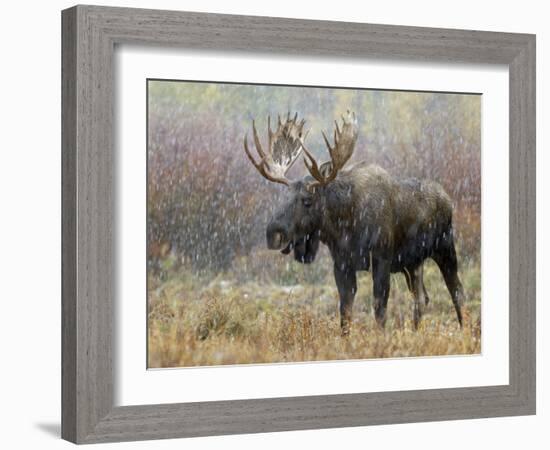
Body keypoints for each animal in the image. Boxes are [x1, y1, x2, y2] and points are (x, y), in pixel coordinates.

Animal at [246, 110, 466, 334]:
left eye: (307, 200)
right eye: (284, 196)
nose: (273, 234)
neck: (344, 226)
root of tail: (448, 199)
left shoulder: (381, 257)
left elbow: (379, 307)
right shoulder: (342, 264)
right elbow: (345, 311)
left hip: (445, 247)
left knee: (457, 291)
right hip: (413, 263)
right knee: (421, 298)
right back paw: (415, 333)